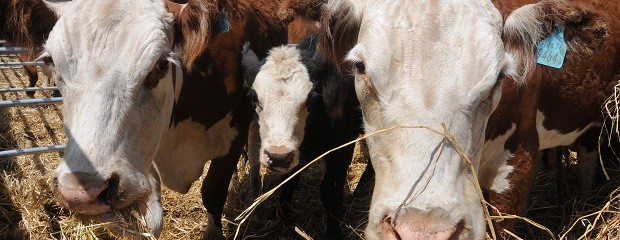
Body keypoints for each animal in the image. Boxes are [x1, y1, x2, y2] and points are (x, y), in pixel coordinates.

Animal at [37, 0, 302, 238]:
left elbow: (213, 193)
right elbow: (153, 215)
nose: (80, 192)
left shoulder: (233, 136)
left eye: (161, 64)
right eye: (50, 61)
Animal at [241, 34, 368, 238]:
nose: (277, 156)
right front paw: (286, 223)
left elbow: (331, 194)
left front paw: (333, 233)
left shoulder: (343, 147)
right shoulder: (295, 154)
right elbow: (288, 186)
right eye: (254, 98)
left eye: (310, 98)